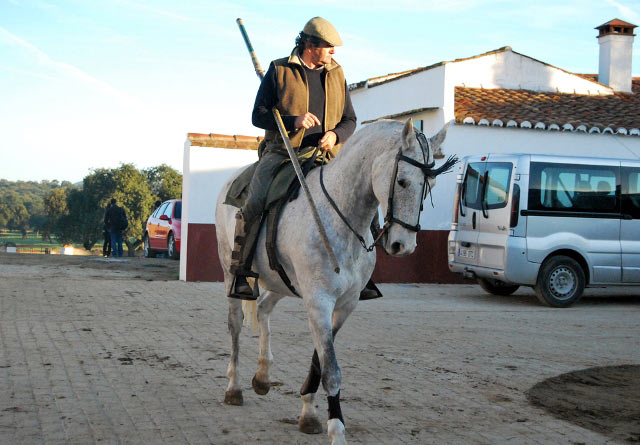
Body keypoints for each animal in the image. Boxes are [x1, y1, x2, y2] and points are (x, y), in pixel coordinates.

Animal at [215, 119, 450, 444]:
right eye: (402, 181)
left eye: (431, 186)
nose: (403, 246)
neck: (342, 215)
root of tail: (231, 181)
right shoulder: (319, 302)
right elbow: (331, 368)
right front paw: (336, 429)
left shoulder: (344, 305)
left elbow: (320, 361)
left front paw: (308, 413)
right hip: (230, 271)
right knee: (235, 323)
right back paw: (234, 387)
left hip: (281, 282)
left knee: (263, 308)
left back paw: (262, 377)